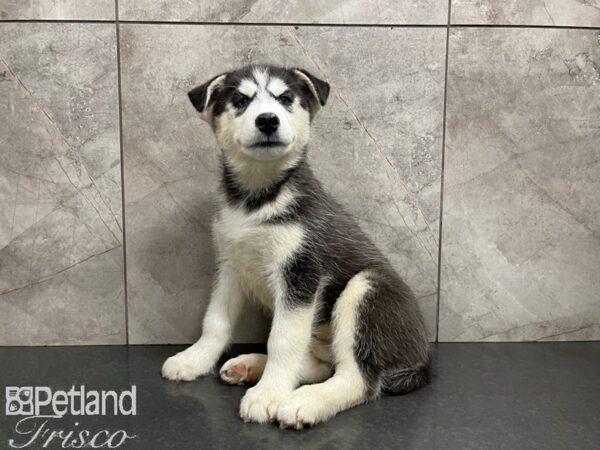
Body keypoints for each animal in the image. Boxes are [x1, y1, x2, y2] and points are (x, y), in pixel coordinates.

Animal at [162, 64, 428, 428]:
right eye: (241, 100)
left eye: (285, 98)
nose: (267, 120)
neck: (257, 199)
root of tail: (424, 358)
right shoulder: (231, 266)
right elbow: (215, 321)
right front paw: (195, 359)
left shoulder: (301, 272)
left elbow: (282, 339)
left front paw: (268, 395)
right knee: (321, 364)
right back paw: (250, 367)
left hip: (365, 289)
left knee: (357, 377)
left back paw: (305, 400)